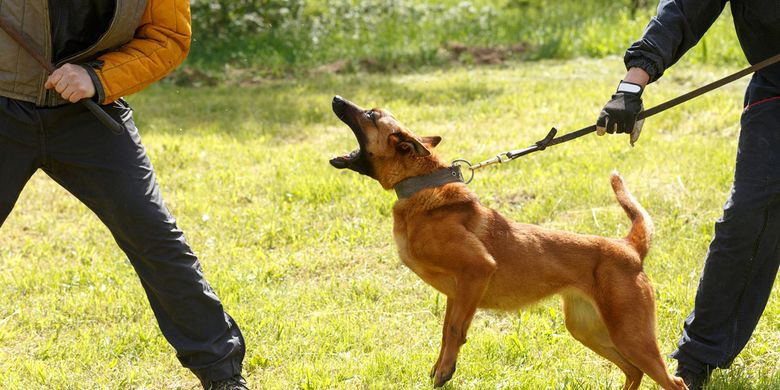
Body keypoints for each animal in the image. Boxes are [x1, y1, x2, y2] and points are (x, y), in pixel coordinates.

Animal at [330, 95, 688, 390]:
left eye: (370, 114)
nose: (336, 99)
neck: (421, 186)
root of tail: (629, 248)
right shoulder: (456, 293)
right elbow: (447, 330)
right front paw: (439, 368)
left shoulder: (477, 270)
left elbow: (454, 331)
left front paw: (446, 370)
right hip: (589, 330)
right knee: (634, 372)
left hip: (630, 335)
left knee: (673, 381)